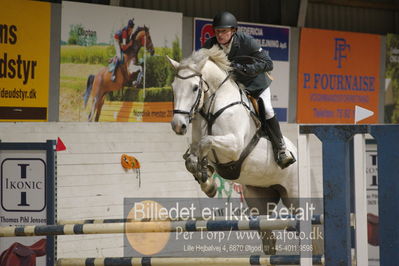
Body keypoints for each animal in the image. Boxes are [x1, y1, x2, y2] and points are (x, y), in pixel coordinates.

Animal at [167, 47, 298, 254]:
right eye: (173, 87)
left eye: (195, 88)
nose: (178, 126)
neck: (212, 106)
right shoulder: (204, 150)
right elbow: (191, 157)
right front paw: (206, 180)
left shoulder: (234, 146)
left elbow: (205, 142)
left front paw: (207, 181)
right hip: (258, 199)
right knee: (267, 236)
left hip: (294, 195)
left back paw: (284, 155)